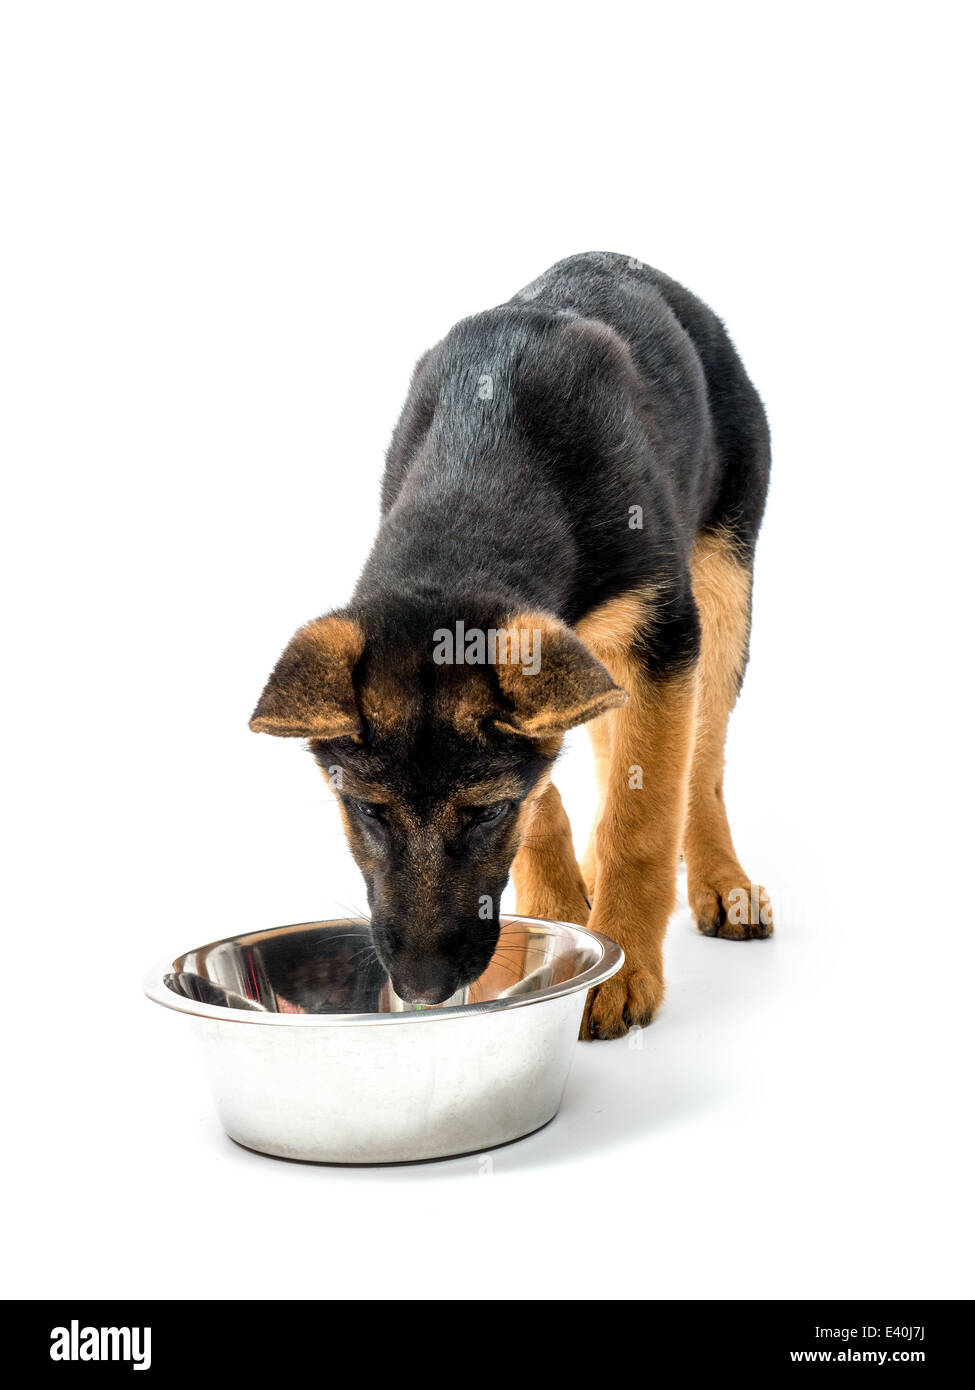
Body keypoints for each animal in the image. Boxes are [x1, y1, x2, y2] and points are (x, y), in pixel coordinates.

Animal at [248, 250, 767, 1039]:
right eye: (368, 812)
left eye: (487, 813)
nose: (423, 989)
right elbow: (552, 804)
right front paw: (558, 922)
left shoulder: (662, 635)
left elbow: (642, 820)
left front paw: (623, 968)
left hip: (722, 595)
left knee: (699, 766)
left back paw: (722, 883)